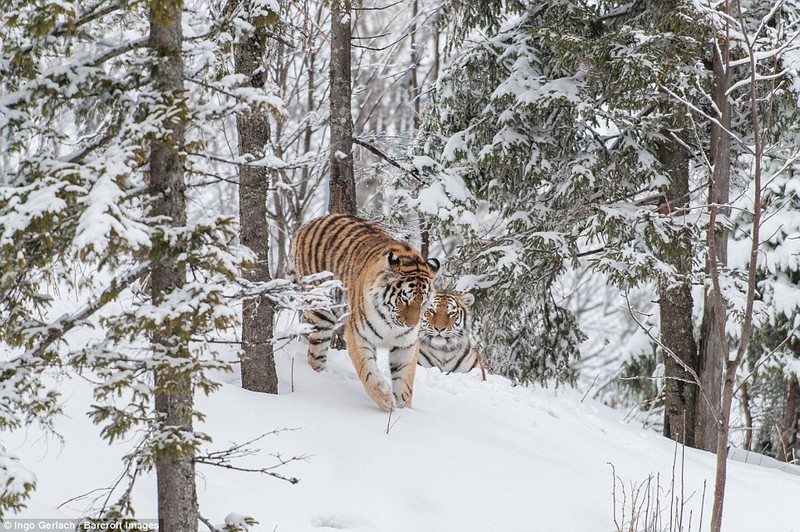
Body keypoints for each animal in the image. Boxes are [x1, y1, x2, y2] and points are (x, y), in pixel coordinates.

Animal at [290, 213, 440, 412]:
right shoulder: (358, 335)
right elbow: (367, 370)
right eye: (404, 299)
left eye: (423, 301)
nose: (411, 324)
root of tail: (307, 224)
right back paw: (319, 377)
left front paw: (405, 410)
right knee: (315, 351)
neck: (391, 323)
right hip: (322, 310)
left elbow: (404, 381)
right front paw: (385, 400)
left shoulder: (406, 344)